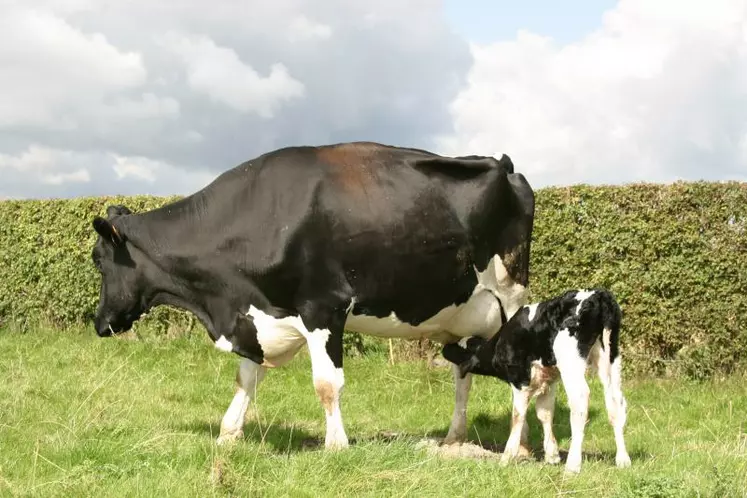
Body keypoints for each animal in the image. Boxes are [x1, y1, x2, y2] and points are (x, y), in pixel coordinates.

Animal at [90, 141, 536, 452]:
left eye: (98, 260)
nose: (99, 322)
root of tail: (504, 165)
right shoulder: (263, 315)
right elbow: (246, 378)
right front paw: (228, 434)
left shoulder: (324, 307)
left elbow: (326, 384)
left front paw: (336, 445)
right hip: (461, 318)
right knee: (463, 372)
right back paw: (454, 437)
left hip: (512, 297)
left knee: (521, 374)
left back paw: (520, 445)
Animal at [442, 286, 636, 472]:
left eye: (463, 345)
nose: (445, 347)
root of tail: (599, 295)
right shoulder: (549, 380)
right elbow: (544, 412)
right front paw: (552, 455)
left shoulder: (520, 379)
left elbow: (518, 415)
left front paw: (507, 457)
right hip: (609, 357)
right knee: (616, 402)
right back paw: (623, 460)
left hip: (571, 362)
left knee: (580, 401)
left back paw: (573, 465)